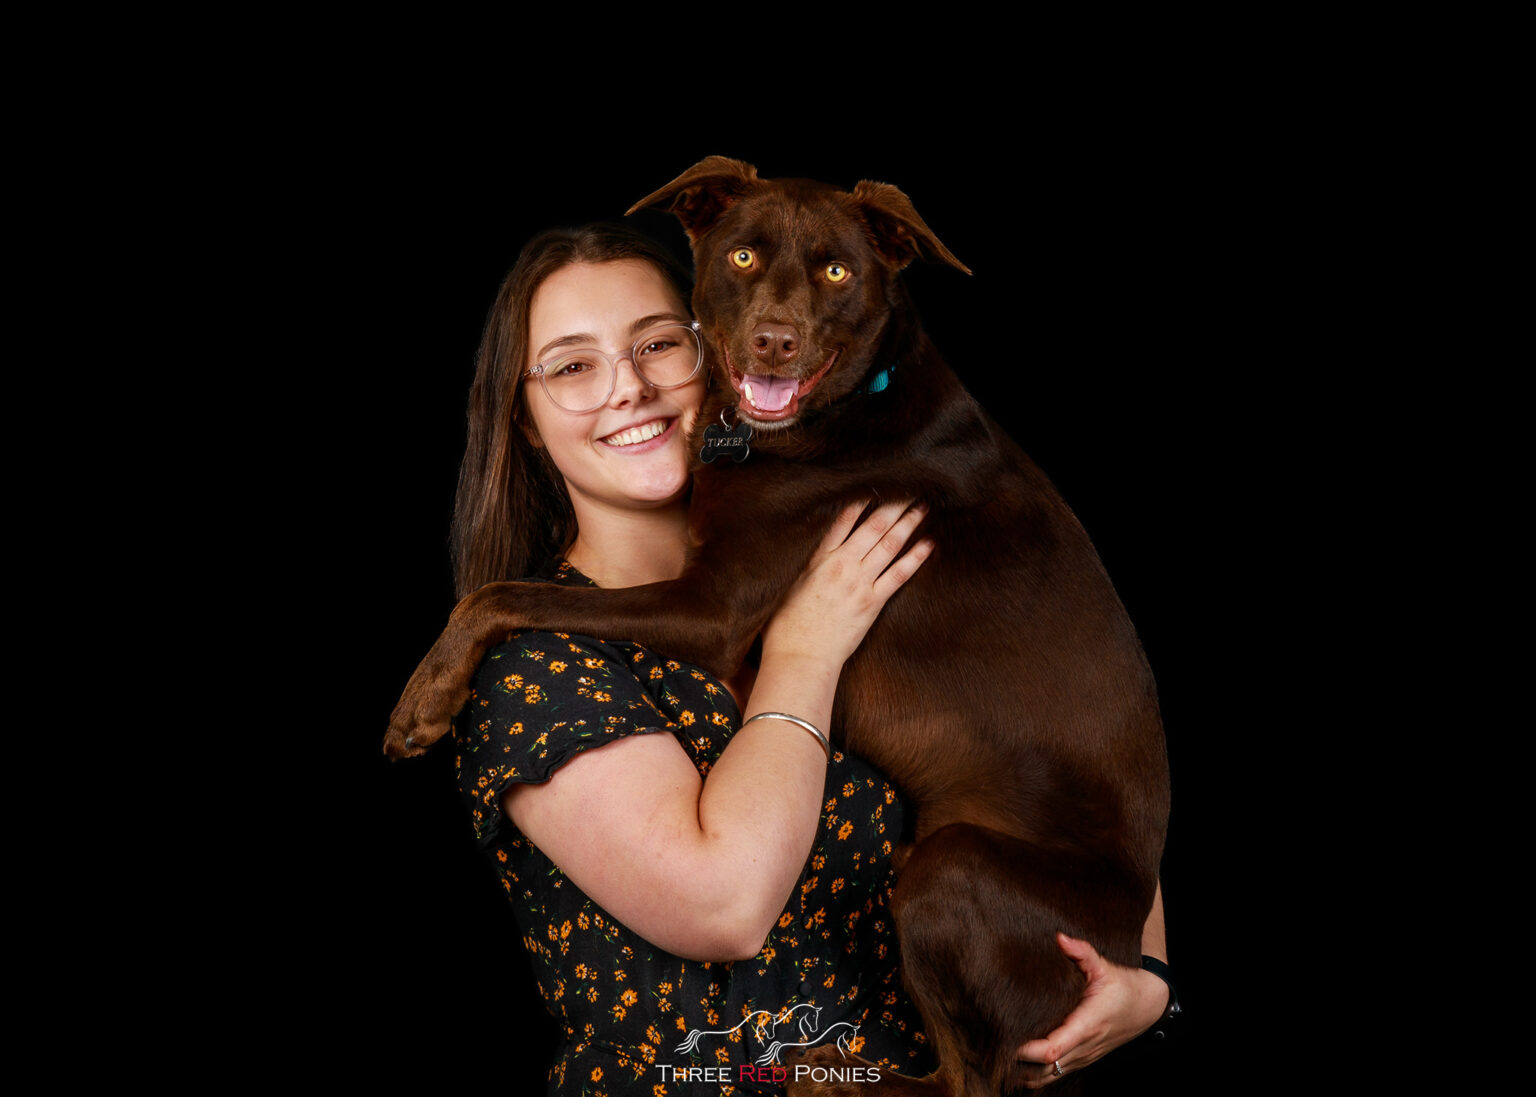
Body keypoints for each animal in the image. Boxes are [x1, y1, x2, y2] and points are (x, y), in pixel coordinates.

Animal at [390, 158, 1167, 1087]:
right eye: (744, 255)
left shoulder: (712, 607)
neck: (846, 407)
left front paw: (421, 700)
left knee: (972, 1078)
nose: (773, 341)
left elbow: (498, 593)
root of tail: (1122, 926)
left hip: (950, 868)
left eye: (836, 271)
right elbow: (505, 592)